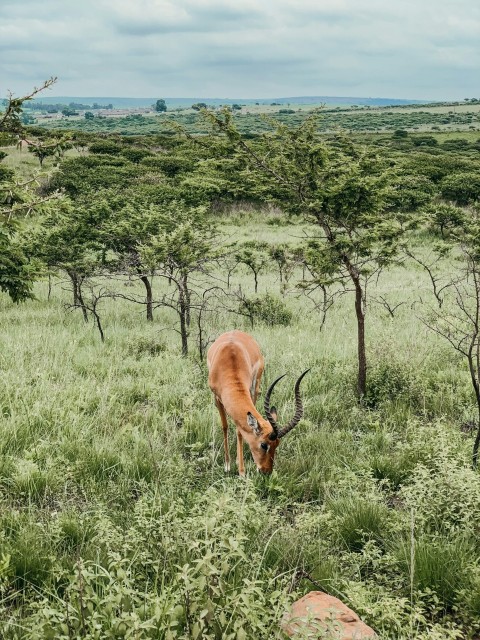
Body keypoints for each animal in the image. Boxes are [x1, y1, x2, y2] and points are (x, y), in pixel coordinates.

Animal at [207, 330, 309, 475]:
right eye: (264, 445)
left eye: (277, 444)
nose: (266, 471)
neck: (229, 363)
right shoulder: (216, 397)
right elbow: (225, 426)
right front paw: (227, 465)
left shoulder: (248, 389)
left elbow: (239, 431)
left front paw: (241, 470)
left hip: (256, 387)